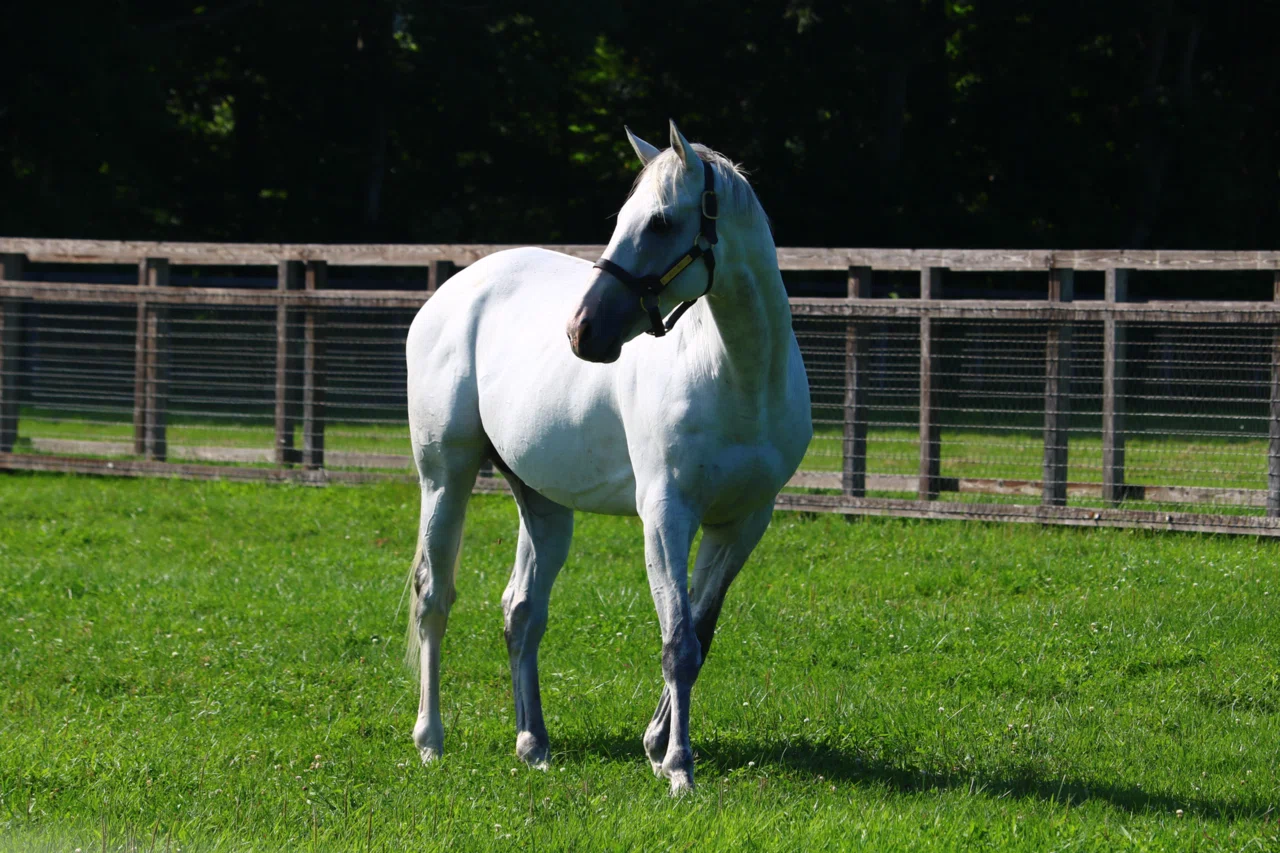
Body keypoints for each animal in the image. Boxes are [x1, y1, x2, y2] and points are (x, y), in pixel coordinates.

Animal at [404, 121, 812, 793]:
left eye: (661, 222)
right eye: (622, 219)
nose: (582, 330)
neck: (737, 377)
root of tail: (452, 294)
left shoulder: (743, 524)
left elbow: (700, 633)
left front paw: (656, 743)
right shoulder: (666, 516)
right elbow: (677, 642)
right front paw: (678, 768)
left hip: (542, 503)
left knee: (522, 611)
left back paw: (533, 744)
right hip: (445, 477)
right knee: (434, 599)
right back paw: (430, 742)